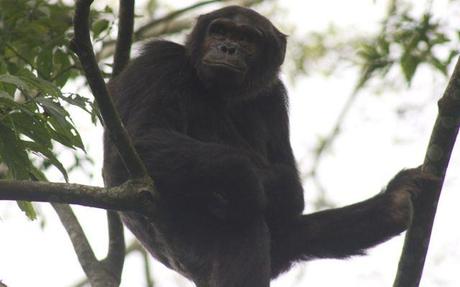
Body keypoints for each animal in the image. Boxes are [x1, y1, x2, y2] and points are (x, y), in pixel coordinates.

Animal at [103, 4, 434, 287]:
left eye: (247, 39)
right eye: (219, 31)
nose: (228, 48)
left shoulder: (274, 97)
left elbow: (289, 176)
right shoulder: (157, 62)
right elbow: (141, 138)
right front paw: (249, 178)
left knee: (299, 233)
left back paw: (395, 203)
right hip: (182, 237)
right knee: (243, 222)